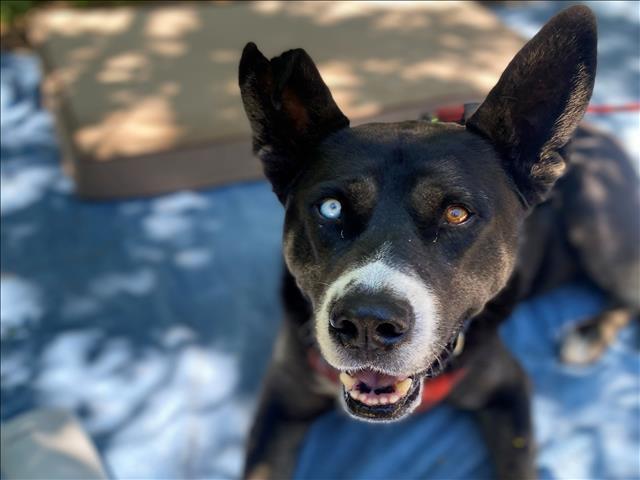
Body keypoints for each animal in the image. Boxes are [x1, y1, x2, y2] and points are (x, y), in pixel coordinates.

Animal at [239, 4, 636, 480]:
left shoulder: (507, 387)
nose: (366, 325)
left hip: (596, 223)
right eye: (330, 208)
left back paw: (589, 333)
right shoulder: (281, 400)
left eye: (457, 213)